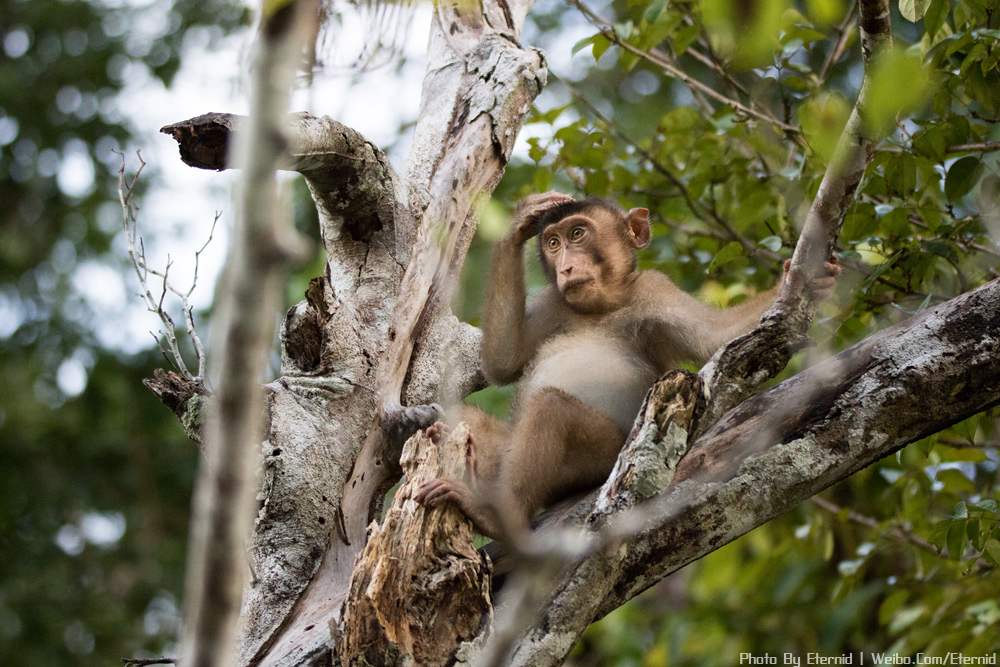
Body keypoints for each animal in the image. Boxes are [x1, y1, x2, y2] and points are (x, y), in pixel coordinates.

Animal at [410, 190, 840, 540]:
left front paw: (809, 278)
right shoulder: (554, 302)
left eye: (577, 234)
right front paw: (519, 223)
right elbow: (503, 362)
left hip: (600, 460)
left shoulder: (655, 290)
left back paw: (497, 515)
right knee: (472, 418)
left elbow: (715, 336)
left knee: (552, 408)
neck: (603, 306)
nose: (566, 267)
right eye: (553, 243)